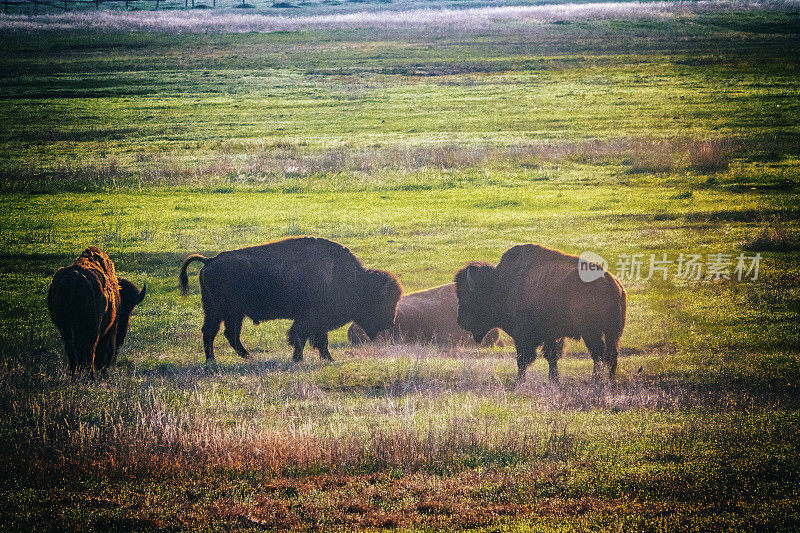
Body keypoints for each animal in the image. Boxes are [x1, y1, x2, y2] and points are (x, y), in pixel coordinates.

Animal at [47, 246, 147, 378]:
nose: (121, 339)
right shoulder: (110, 330)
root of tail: (74, 278)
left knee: (72, 349)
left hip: (65, 328)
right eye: (128, 311)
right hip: (92, 329)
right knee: (90, 349)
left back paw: (74, 374)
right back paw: (91, 376)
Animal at [179, 236, 404, 362]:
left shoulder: (316, 322)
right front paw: (301, 359)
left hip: (224, 312)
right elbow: (302, 337)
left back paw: (236, 358)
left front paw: (325, 358)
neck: (354, 281)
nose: (390, 323)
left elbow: (315, 339)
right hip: (223, 311)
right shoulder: (310, 318)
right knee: (218, 333)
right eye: (383, 301)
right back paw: (220, 360)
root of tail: (209, 260)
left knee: (222, 333)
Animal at [456, 245, 624, 382]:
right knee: (611, 355)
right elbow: (551, 357)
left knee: (598, 354)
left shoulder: (523, 335)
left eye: (467, 296)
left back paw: (595, 381)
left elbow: (523, 360)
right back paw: (610, 381)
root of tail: (614, 284)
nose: (460, 321)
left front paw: (519, 382)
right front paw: (554, 381)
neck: (500, 284)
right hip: (612, 332)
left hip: (591, 332)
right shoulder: (551, 336)